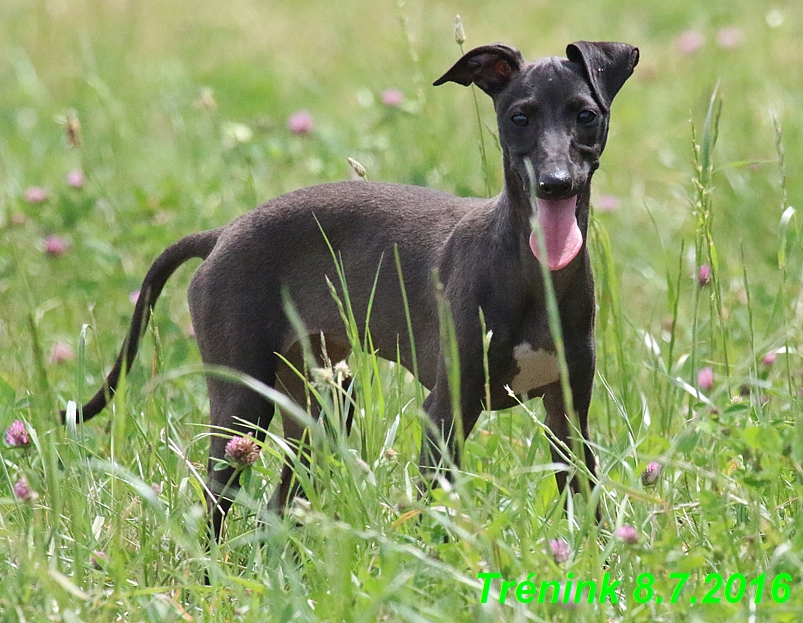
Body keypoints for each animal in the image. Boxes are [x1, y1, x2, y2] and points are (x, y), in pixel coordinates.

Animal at [62, 41, 640, 540]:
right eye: (519, 117)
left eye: (586, 115)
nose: (555, 183)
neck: (531, 274)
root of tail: (221, 233)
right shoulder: (445, 411)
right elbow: (435, 518)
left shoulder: (569, 414)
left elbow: (589, 504)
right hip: (242, 404)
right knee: (214, 511)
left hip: (323, 402)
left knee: (277, 508)